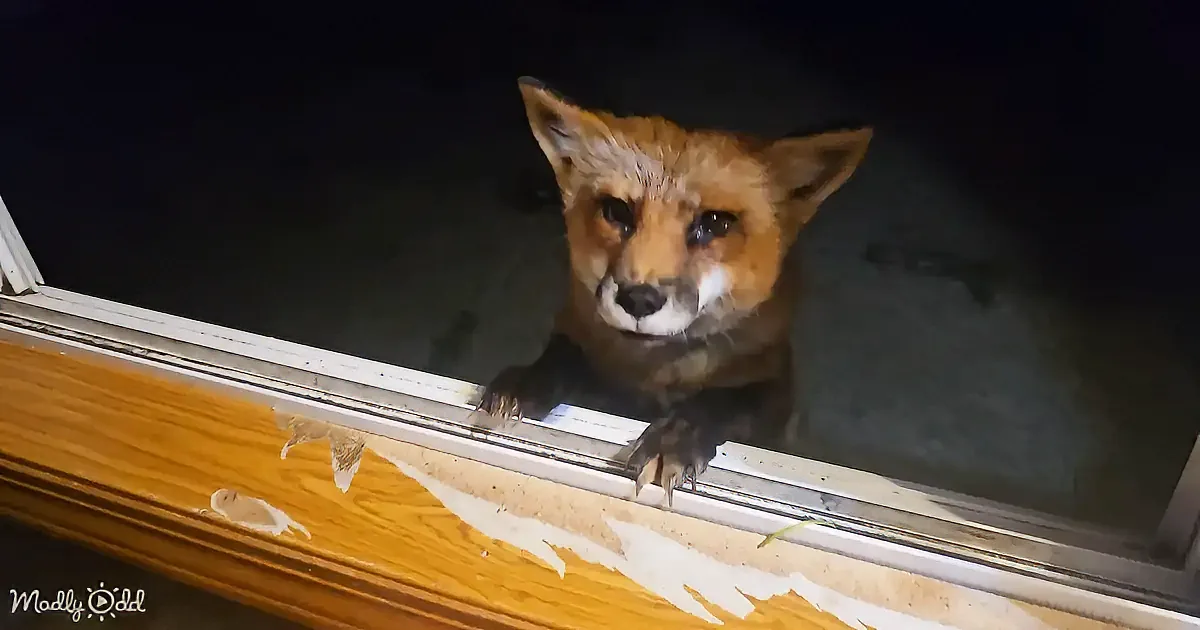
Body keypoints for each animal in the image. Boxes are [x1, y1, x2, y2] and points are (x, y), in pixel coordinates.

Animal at [473, 76, 872, 505]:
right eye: (617, 212)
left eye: (714, 223)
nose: (638, 299)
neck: (655, 374)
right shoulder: (576, 331)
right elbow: (562, 356)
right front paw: (526, 381)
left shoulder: (775, 383)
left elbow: (720, 400)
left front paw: (674, 437)